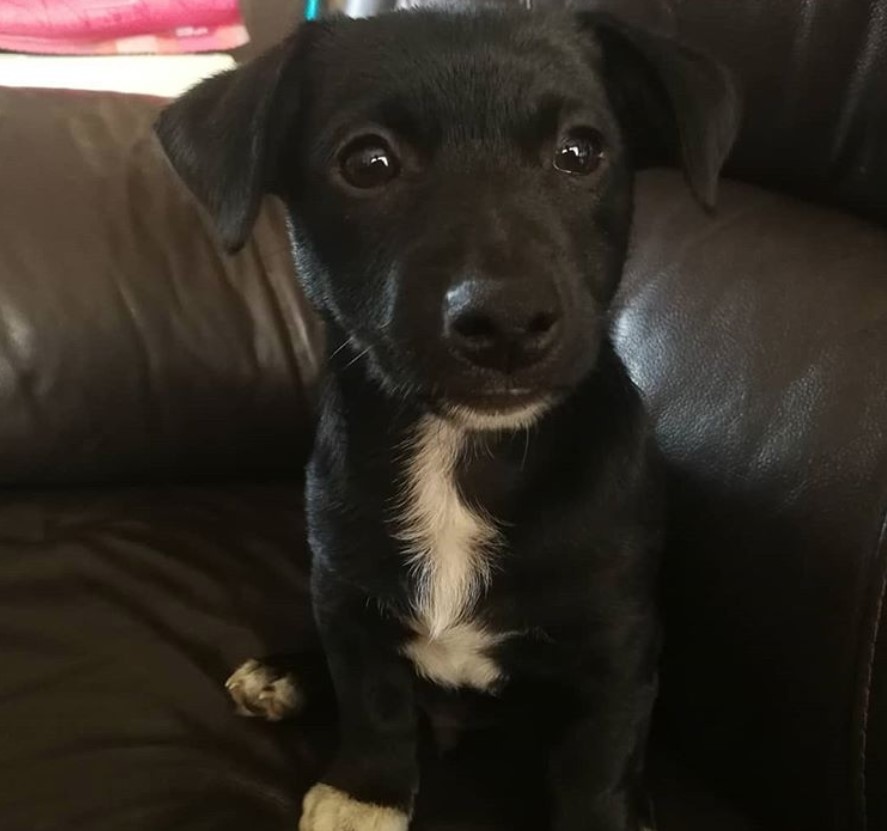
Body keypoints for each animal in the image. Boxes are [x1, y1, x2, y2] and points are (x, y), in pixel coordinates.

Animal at [156, 8, 740, 831]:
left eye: (580, 152)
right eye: (368, 163)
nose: (506, 322)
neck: (460, 449)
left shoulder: (618, 648)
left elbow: (596, 766)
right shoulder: (345, 591)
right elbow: (373, 703)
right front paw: (366, 792)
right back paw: (284, 673)